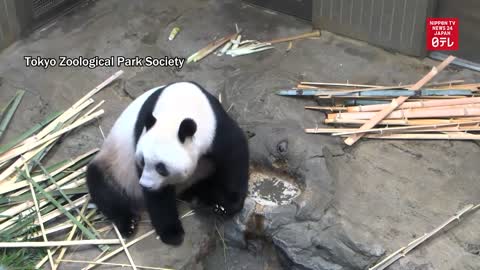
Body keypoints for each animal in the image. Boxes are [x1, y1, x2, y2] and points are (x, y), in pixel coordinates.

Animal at [86, 81, 249, 246]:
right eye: (142, 161)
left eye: (161, 168)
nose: (145, 185)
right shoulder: (141, 136)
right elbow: (159, 196)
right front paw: (172, 233)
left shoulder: (216, 126)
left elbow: (234, 155)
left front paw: (227, 205)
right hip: (114, 164)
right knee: (103, 186)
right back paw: (128, 223)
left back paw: (203, 198)